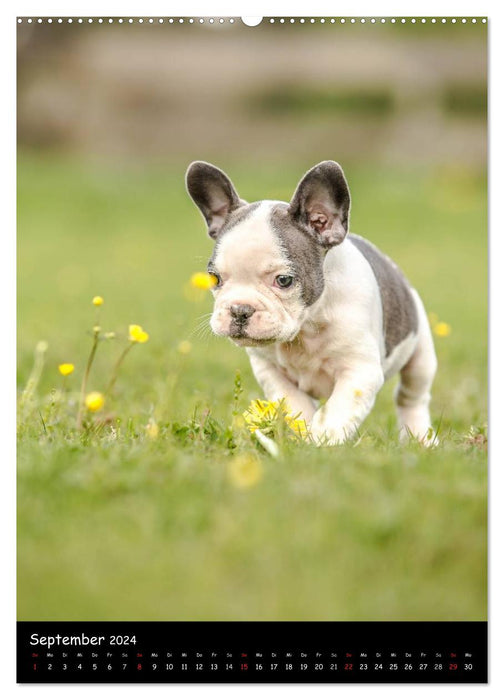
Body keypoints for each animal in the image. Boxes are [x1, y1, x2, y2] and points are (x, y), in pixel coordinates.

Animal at [185, 160, 438, 442]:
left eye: (284, 280)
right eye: (214, 278)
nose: (240, 310)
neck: (308, 326)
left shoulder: (359, 371)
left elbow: (338, 410)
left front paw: (322, 441)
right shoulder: (269, 370)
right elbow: (295, 404)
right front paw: (301, 436)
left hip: (421, 353)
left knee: (411, 396)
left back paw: (421, 438)